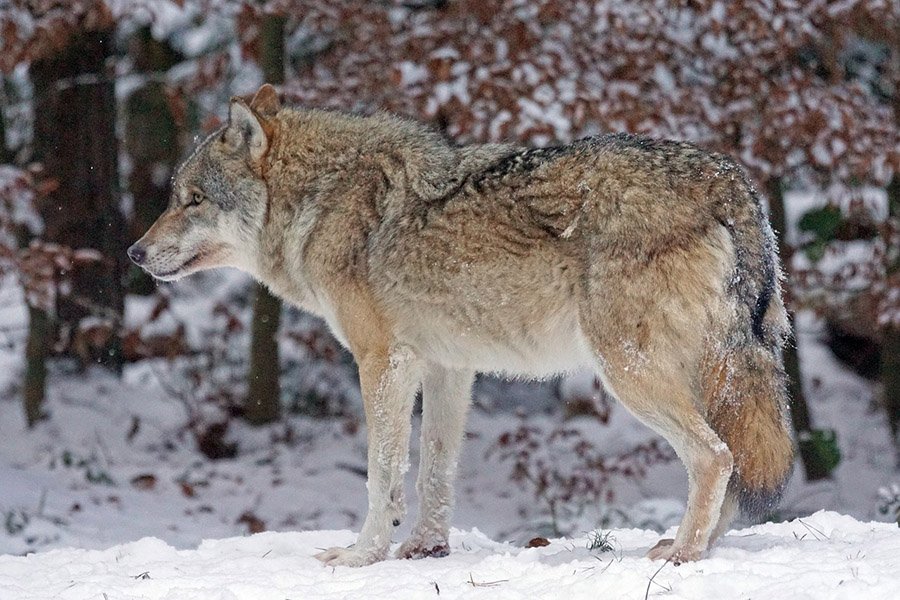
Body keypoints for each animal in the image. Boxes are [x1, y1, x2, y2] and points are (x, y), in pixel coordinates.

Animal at [129, 84, 793, 566]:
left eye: (191, 200)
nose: (135, 253)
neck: (320, 200)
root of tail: (730, 180)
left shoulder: (383, 362)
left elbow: (381, 473)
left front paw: (361, 556)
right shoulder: (448, 367)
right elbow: (435, 468)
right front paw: (425, 548)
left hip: (629, 372)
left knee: (715, 456)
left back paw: (683, 554)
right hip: (708, 375)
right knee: (731, 456)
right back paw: (693, 544)